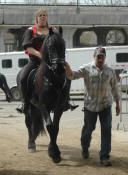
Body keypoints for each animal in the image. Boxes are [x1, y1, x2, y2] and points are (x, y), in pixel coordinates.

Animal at [16, 26, 69, 163]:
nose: (59, 68)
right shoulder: (44, 104)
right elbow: (50, 126)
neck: (52, 79)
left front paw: (54, 151)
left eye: (63, 45)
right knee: (28, 123)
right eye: (50, 46)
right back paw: (31, 144)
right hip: (29, 106)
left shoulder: (59, 106)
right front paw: (54, 153)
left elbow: (55, 127)